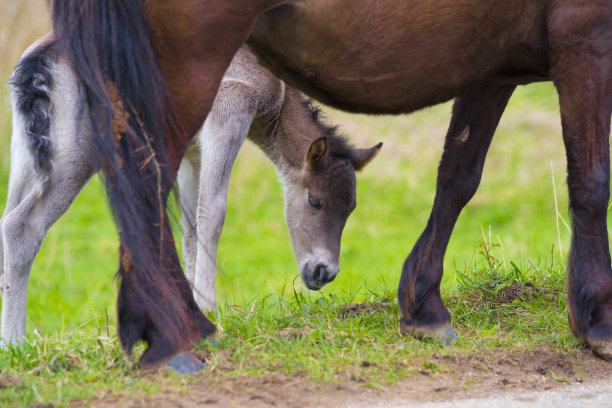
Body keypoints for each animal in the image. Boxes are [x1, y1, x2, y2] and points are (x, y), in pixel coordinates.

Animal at [0, 37, 380, 344]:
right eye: (315, 201)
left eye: (351, 208)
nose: (325, 272)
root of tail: (40, 60)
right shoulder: (229, 112)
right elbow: (213, 212)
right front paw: (211, 311)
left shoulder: (191, 151)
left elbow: (190, 227)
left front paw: (194, 311)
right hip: (78, 153)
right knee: (22, 227)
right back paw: (16, 342)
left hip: (27, 154)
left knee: (6, 220)